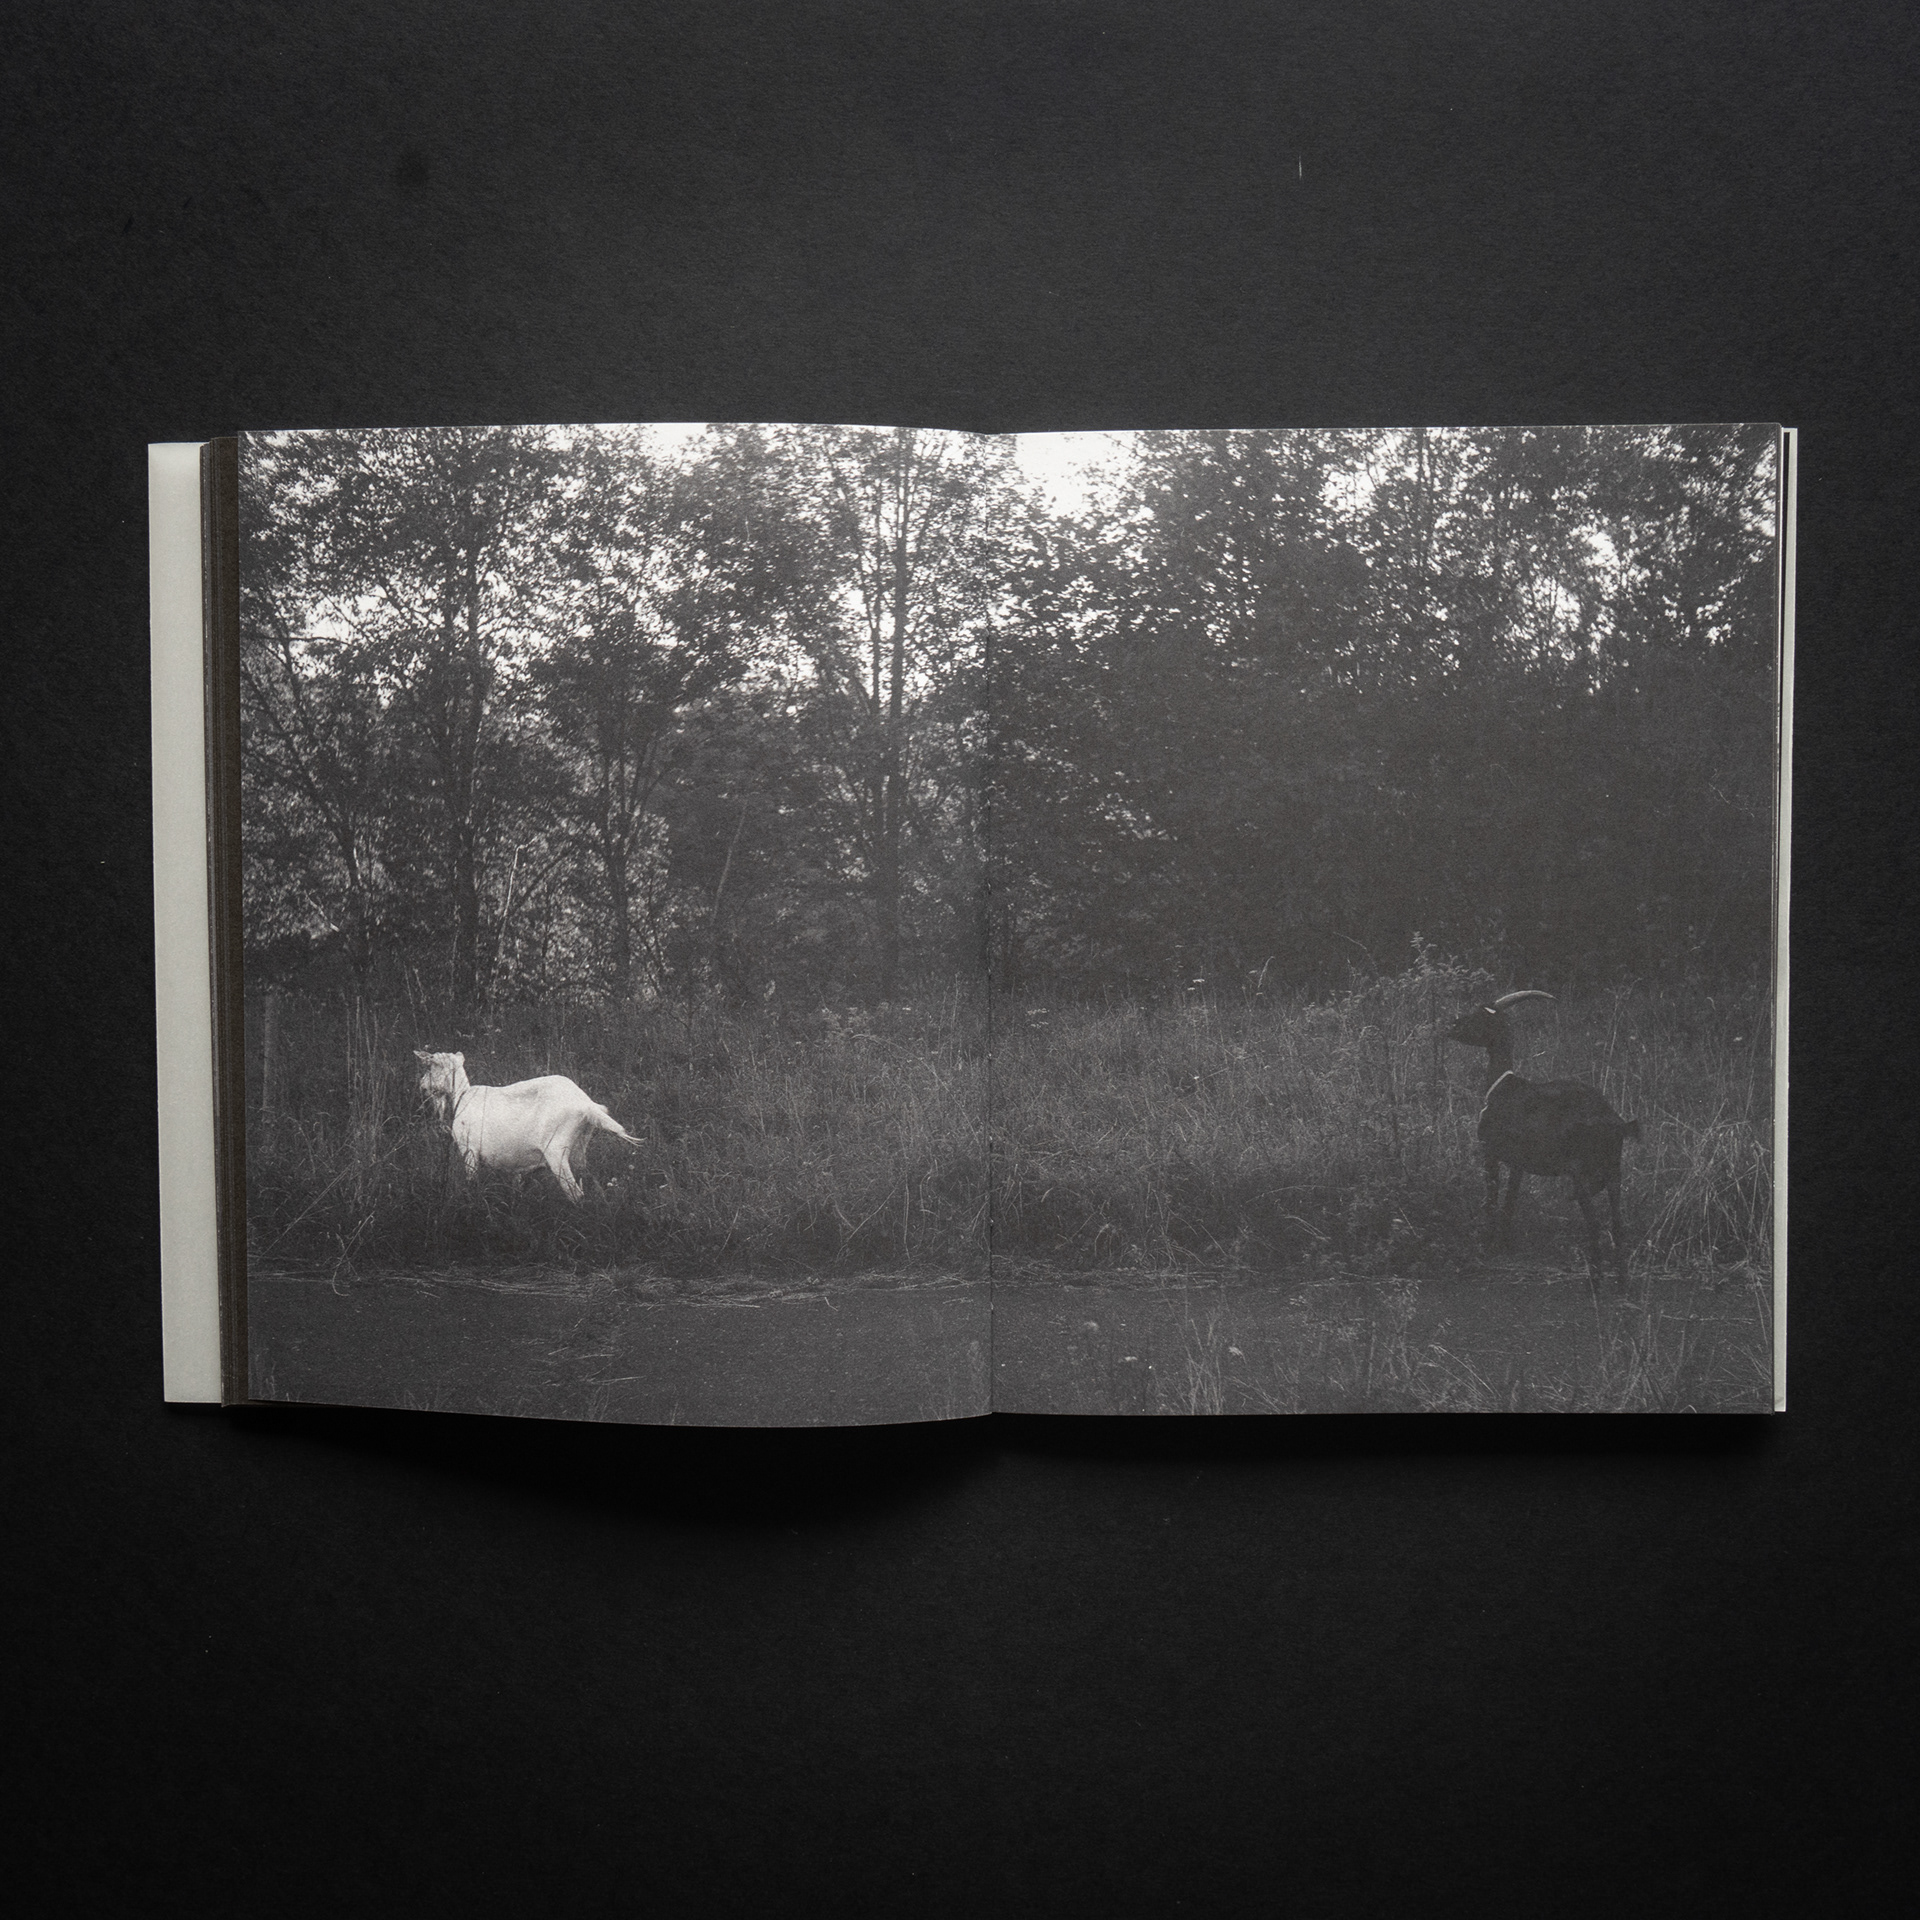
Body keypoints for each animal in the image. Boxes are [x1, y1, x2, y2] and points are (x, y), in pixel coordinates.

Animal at [414, 1050, 639, 1203]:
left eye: (429, 1067)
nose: (421, 1085)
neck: (462, 1096)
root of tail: (587, 1105)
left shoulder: (469, 1150)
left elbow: (472, 1181)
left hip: (556, 1151)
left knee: (576, 1193)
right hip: (579, 1149)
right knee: (591, 1183)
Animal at [1445, 992, 1641, 1292]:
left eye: (1478, 1017)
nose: (1452, 1026)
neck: (1502, 1087)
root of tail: (1614, 1121)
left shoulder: (1490, 1151)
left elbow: (1492, 1198)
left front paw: (1486, 1245)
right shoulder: (1519, 1162)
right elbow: (1510, 1201)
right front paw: (1504, 1245)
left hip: (1581, 1173)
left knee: (1594, 1223)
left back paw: (1595, 1281)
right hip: (1613, 1171)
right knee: (1618, 1224)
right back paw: (1621, 1283)